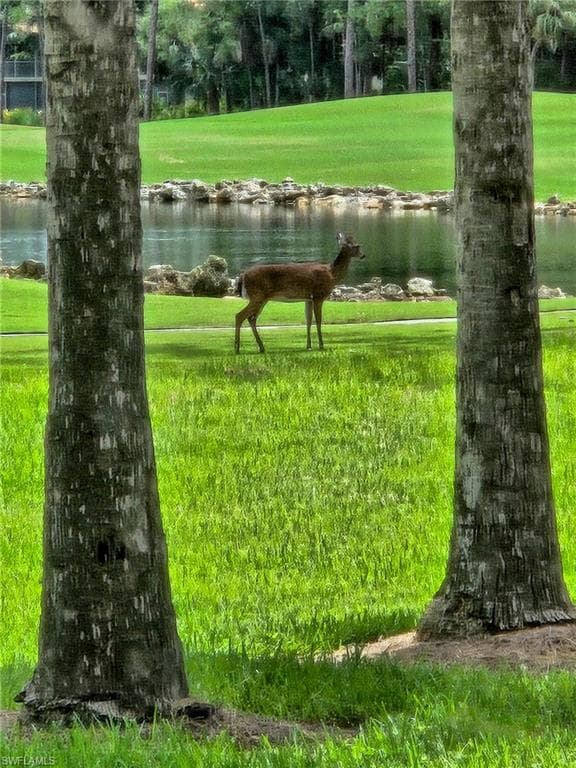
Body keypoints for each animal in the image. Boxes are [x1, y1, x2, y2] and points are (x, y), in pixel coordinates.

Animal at [234, 232, 364, 353]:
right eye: (357, 246)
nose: (363, 255)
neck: (332, 273)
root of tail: (243, 275)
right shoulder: (318, 296)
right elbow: (318, 321)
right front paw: (321, 346)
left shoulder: (308, 299)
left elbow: (308, 321)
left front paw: (309, 346)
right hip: (257, 296)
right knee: (239, 315)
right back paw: (237, 348)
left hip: (262, 299)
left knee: (251, 318)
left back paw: (261, 347)